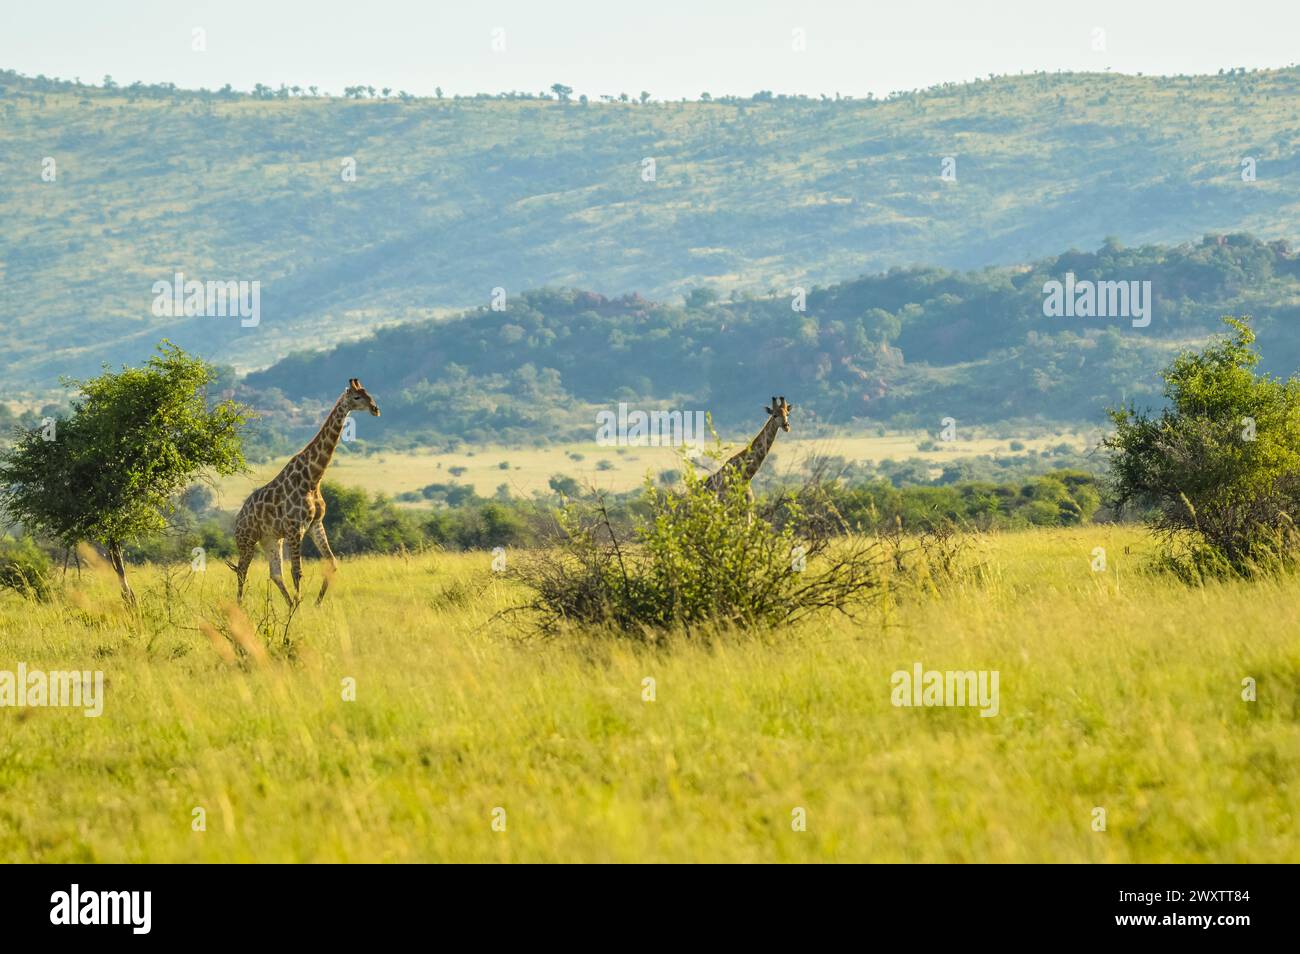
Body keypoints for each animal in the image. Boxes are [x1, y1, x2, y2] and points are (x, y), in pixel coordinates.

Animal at [228, 374, 379, 605]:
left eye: (368, 393)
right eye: (357, 397)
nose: (375, 409)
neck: (312, 479)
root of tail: (237, 519)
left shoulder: (315, 523)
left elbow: (332, 563)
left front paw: (316, 604)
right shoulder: (295, 527)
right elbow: (297, 571)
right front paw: (301, 606)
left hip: (271, 539)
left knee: (275, 573)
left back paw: (289, 604)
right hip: (247, 540)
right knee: (242, 570)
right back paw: (241, 605)